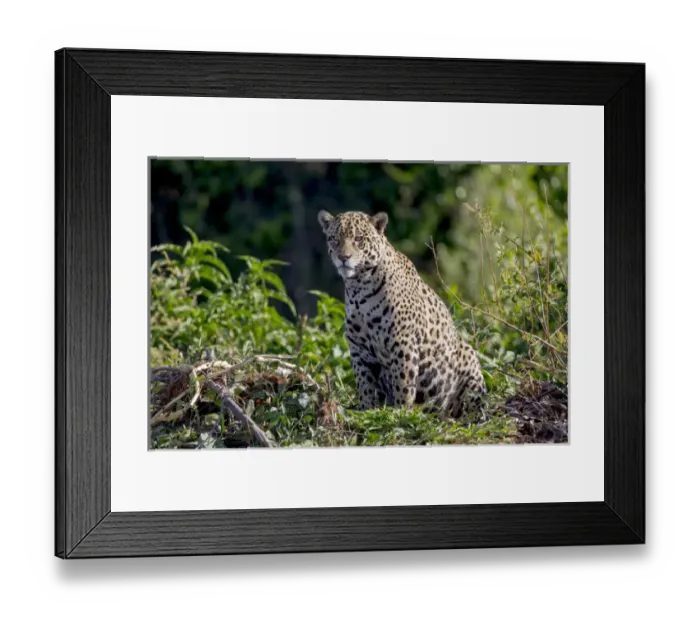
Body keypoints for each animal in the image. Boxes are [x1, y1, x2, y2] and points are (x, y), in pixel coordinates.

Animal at [318, 209, 486, 418]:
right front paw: (366, 410)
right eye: (334, 239)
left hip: (469, 359)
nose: (344, 257)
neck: (359, 288)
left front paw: (401, 413)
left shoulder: (402, 341)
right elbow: (364, 383)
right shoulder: (358, 347)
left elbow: (403, 383)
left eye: (358, 239)